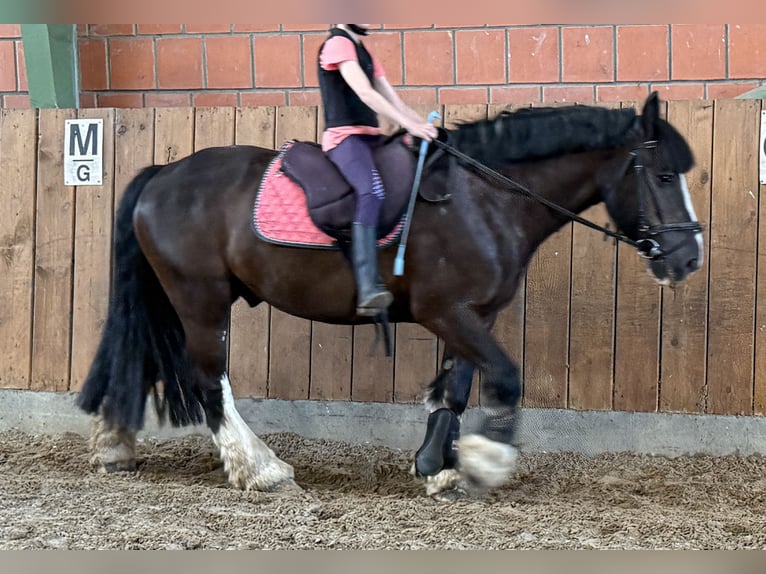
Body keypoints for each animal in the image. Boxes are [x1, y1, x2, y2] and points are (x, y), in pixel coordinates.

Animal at [76, 92, 703, 498]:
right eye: (663, 175)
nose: (689, 257)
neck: (484, 197)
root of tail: (163, 175)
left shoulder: (473, 316)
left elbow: (454, 389)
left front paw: (438, 466)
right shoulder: (446, 312)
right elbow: (505, 378)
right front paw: (485, 463)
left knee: (141, 360)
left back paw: (115, 448)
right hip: (200, 299)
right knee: (210, 380)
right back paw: (261, 470)